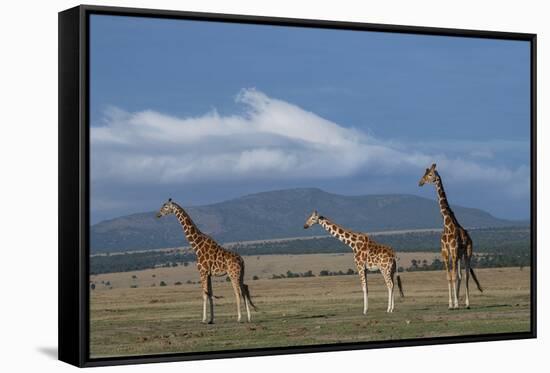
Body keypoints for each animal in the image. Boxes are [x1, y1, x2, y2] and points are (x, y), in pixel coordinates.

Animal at [422, 163, 484, 308]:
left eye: (430, 174)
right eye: (425, 173)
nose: (420, 182)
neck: (447, 224)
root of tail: (470, 238)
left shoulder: (454, 251)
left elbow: (454, 276)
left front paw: (455, 303)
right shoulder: (445, 252)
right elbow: (449, 276)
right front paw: (451, 303)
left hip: (467, 253)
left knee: (466, 275)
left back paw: (466, 303)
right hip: (459, 256)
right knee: (460, 275)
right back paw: (458, 302)